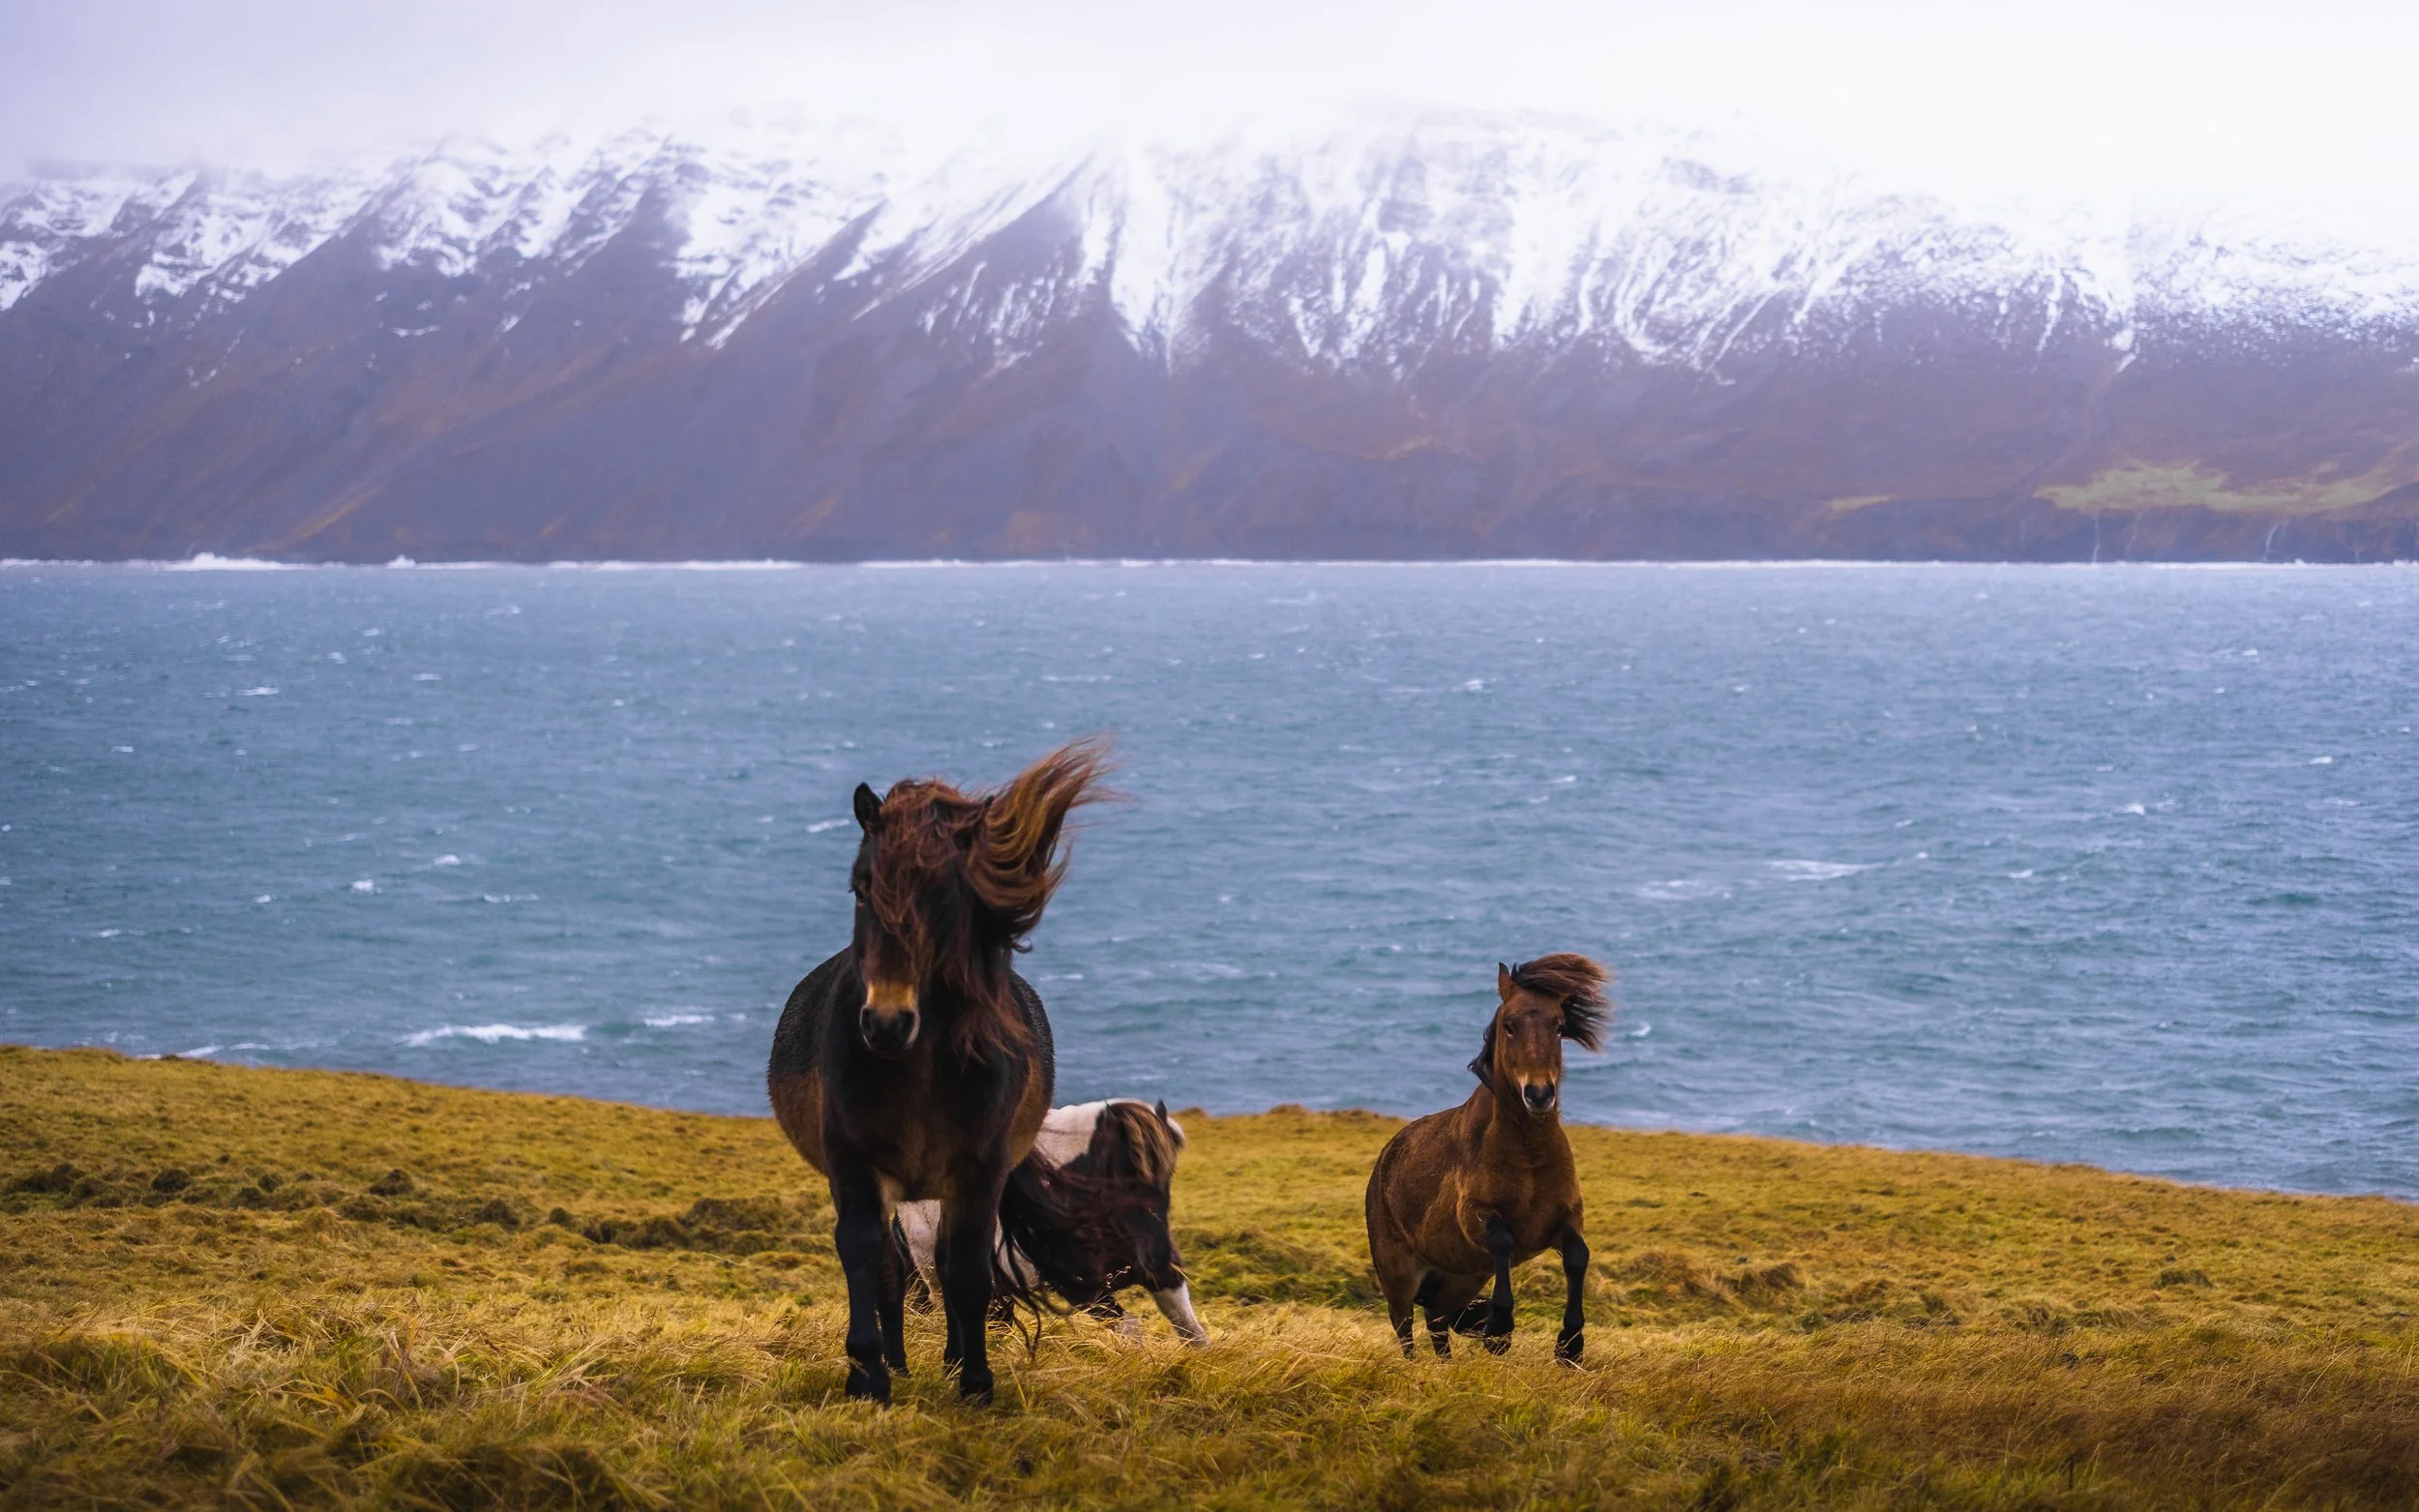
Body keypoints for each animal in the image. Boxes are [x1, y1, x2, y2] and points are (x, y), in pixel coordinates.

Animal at [766, 738, 1116, 1404]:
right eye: (860, 888)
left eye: (944, 897)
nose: (886, 1023)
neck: (917, 1069)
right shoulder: (855, 1163)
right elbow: (865, 1256)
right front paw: (867, 1376)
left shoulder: (979, 1168)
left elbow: (970, 1270)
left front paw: (975, 1381)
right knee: (890, 1269)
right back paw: (899, 1366)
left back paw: (954, 1361)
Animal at [895, 1098, 1209, 1344]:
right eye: (1119, 1176)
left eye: (1168, 1175)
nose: (1158, 1256)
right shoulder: (1080, 1288)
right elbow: (1131, 1329)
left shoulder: (1162, 1277)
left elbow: (1193, 1333)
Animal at [1364, 954, 1610, 1362]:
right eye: (1509, 1026)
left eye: (1559, 1026)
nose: (1539, 1094)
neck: (1528, 1153)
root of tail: (1383, 1162)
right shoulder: (1475, 1216)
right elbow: (1502, 1242)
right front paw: (1498, 1328)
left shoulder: (1566, 1216)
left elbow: (1578, 1255)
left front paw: (1570, 1344)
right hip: (1399, 1272)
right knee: (1405, 1327)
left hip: (1460, 1276)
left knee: (1436, 1319)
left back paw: (1446, 1368)